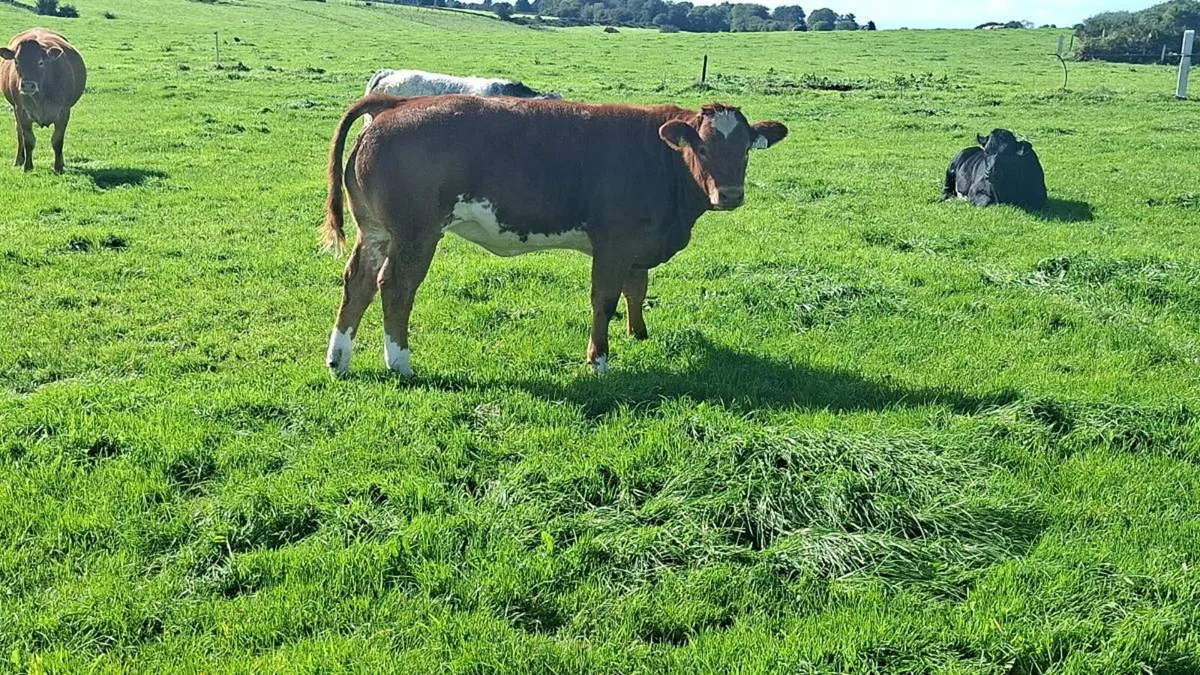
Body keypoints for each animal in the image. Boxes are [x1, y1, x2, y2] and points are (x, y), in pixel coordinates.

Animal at [1, 28, 86, 174]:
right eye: (16, 61)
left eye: (40, 62)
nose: (28, 85)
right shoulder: (21, 111)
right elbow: (28, 140)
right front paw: (28, 167)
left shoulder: (64, 112)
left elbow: (57, 141)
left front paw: (58, 167)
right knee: (19, 134)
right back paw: (18, 161)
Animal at [322, 94, 788, 377]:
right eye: (703, 148)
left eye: (745, 150)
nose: (730, 195)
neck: (660, 159)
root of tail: (400, 103)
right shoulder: (614, 243)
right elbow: (604, 300)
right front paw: (598, 360)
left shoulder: (638, 244)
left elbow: (636, 290)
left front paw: (638, 335)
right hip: (415, 234)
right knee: (395, 287)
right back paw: (400, 363)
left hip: (376, 230)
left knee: (358, 282)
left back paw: (339, 358)